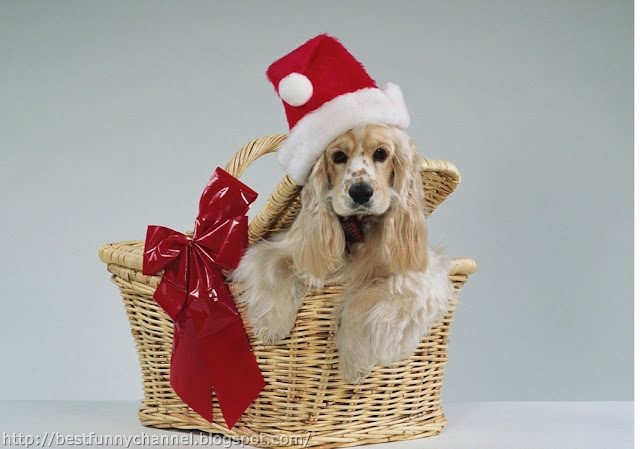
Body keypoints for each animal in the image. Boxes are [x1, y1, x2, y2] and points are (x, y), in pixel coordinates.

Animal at [231, 124, 456, 384]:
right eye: (338, 156)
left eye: (381, 153)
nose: (360, 192)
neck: (358, 228)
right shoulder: (284, 247)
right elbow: (273, 266)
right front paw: (271, 327)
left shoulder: (419, 280)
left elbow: (363, 300)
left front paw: (353, 364)